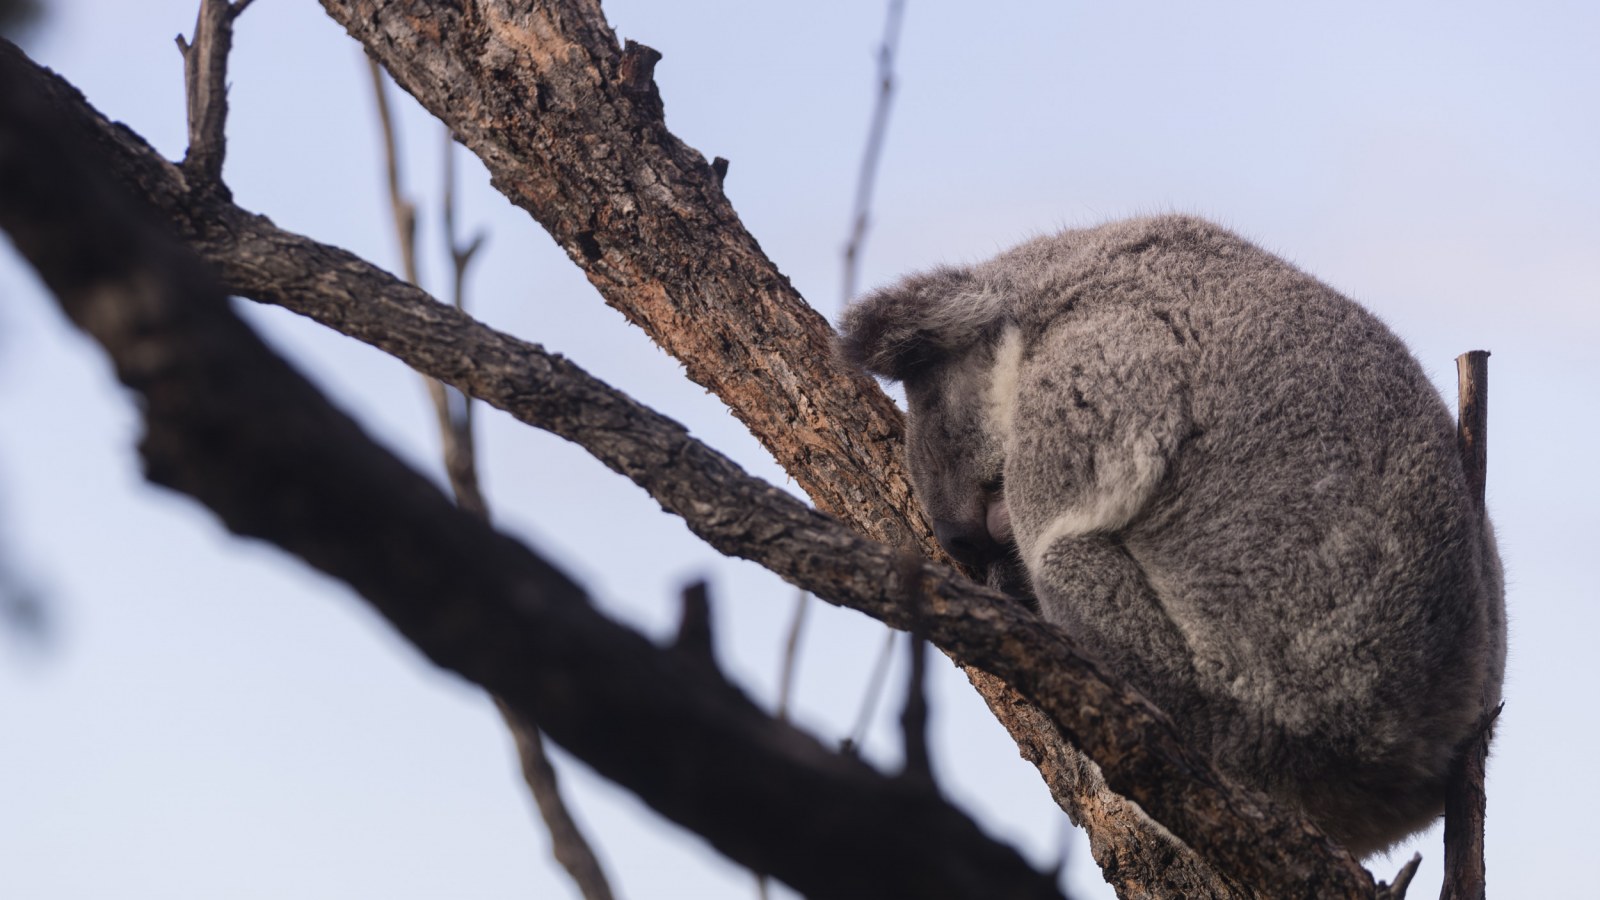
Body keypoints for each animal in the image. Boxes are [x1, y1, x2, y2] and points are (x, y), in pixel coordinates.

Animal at [838, 215, 1506, 856]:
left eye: (943, 434)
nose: (958, 540)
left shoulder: (1106, 361)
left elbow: (1064, 510)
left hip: (1235, 708)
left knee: (1068, 563)